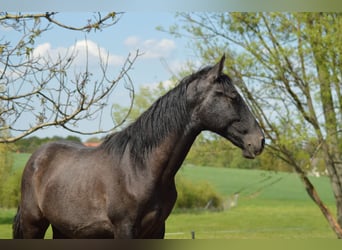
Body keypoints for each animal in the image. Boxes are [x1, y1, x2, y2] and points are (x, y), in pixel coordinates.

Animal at [12, 54, 264, 238]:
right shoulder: (125, 230)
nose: (259, 141)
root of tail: (36, 158)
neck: (140, 168)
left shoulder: (157, 229)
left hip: (65, 230)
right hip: (34, 224)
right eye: (230, 96)